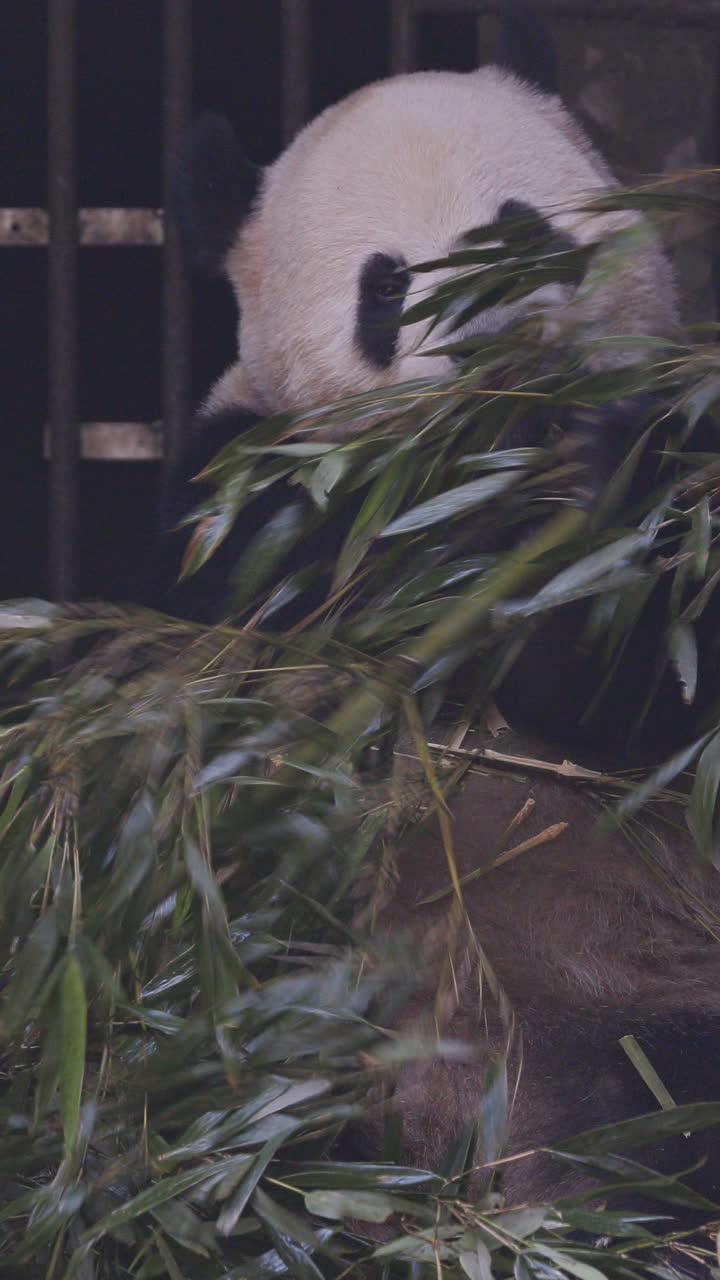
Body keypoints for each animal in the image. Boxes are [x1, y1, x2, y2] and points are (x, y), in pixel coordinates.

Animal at [156, 0, 720, 1223]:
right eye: (385, 284)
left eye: (521, 225)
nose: (495, 326)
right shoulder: (253, 497)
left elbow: (653, 694)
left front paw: (622, 484)